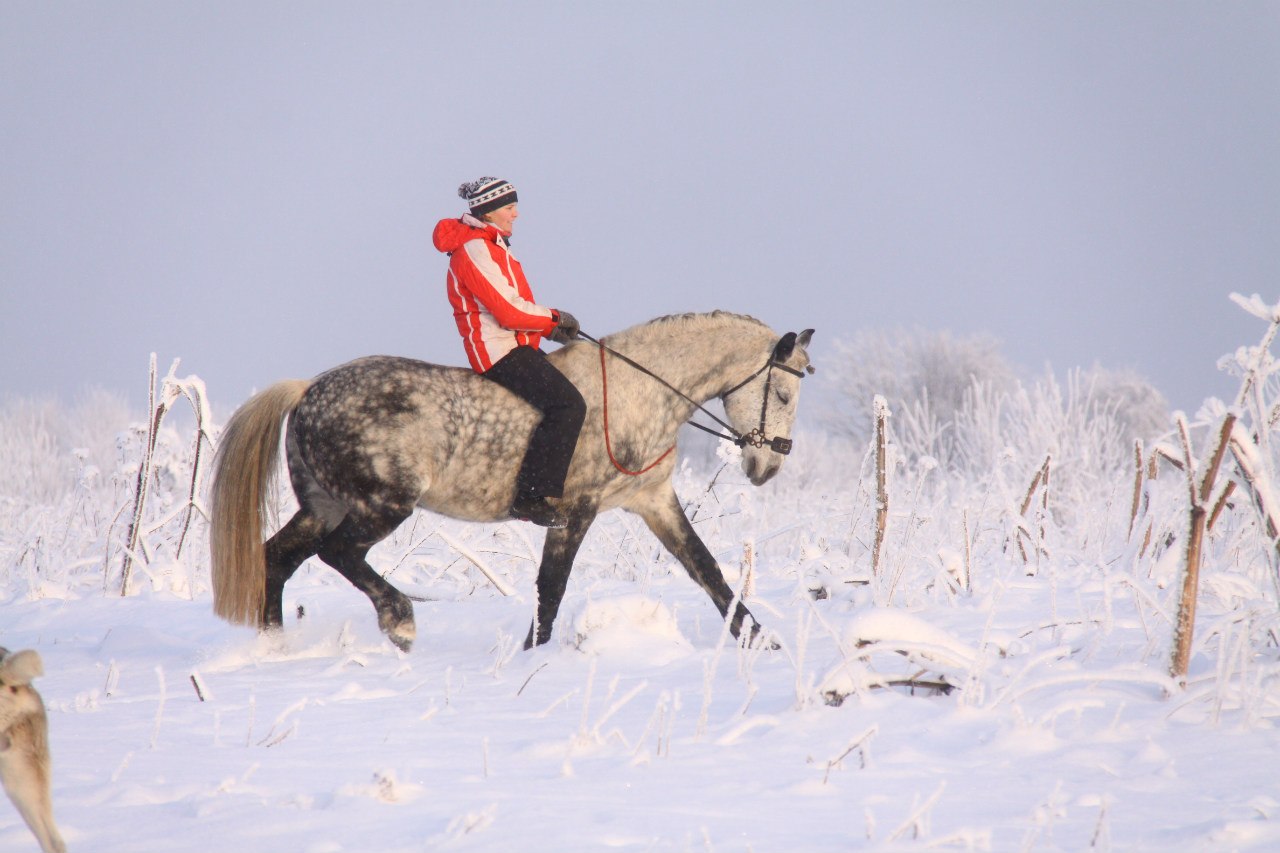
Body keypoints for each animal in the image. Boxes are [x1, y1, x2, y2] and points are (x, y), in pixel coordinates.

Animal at [207, 308, 808, 648]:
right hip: (383, 504)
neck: (641, 393)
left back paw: (274, 648)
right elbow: (552, 589)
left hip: (324, 504)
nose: (770, 466)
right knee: (338, 555)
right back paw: (398, 621)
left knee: (277, 559)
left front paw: (760, 642)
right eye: (782, 393)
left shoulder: (654, 501)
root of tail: (308, 389)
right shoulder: (577, 510)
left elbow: (708, 572)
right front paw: (532, 659)